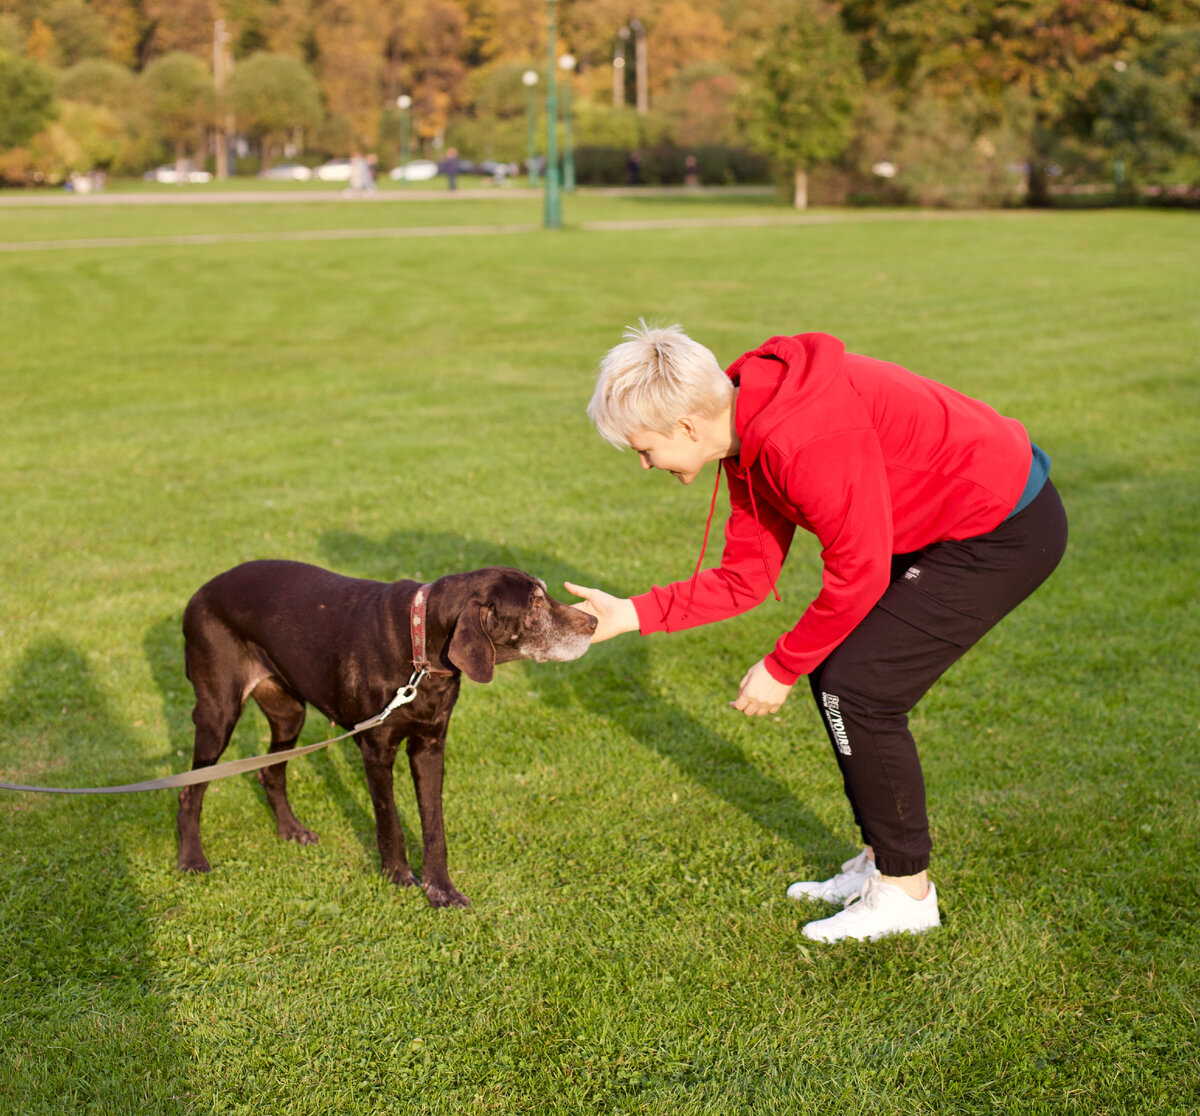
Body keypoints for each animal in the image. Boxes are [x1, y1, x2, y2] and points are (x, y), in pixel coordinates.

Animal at [175, 556, 597, 902]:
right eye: (536, 604)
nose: (593, 622)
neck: (422, 648)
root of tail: (199, 592)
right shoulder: (377, 749)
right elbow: (389, 819)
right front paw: (397, 875)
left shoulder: (430, 745)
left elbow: (434, 825)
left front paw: (440, 889)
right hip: (218, 713)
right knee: (191, 789)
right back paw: (192, 859)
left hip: (288, 712)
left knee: (270, 771)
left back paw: (291, 830)